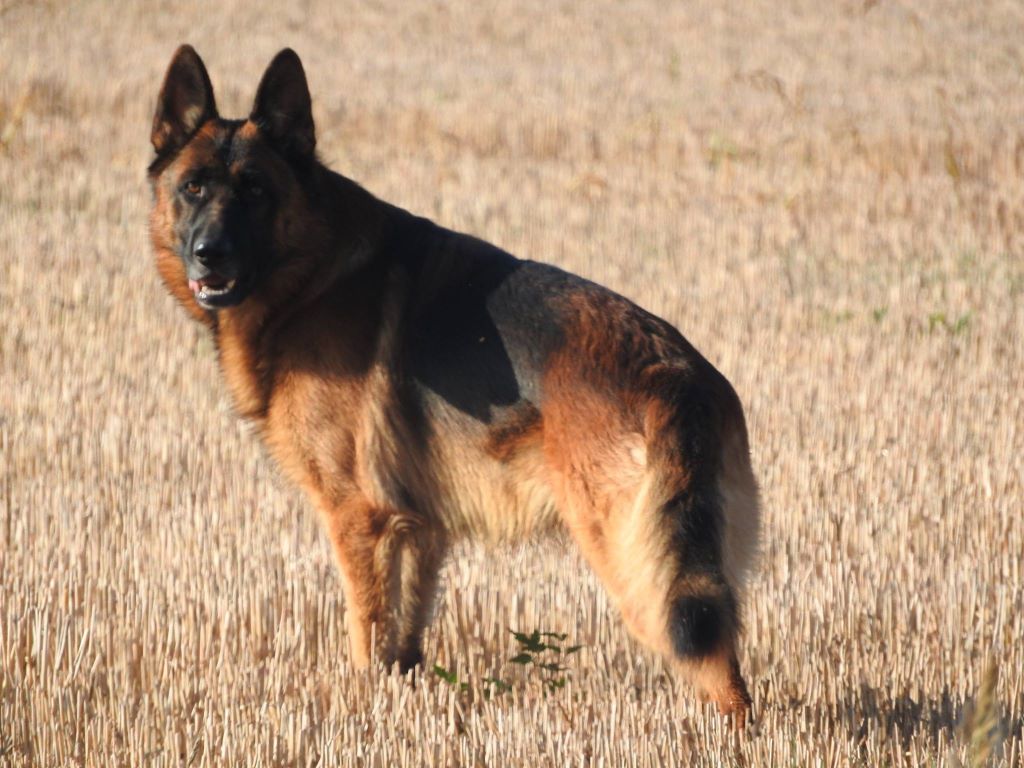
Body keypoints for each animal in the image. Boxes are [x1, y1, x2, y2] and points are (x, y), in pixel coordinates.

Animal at [149, 46, 761, 720]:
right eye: (193, 187)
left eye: (255, 190)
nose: (210, 253)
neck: (311, 272)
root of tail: (674, 372)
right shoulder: (422, 526)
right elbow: (405, 639)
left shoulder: (356, 518)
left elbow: (366, 631)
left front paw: (361, 707)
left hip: (639, 567)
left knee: (721, 677)